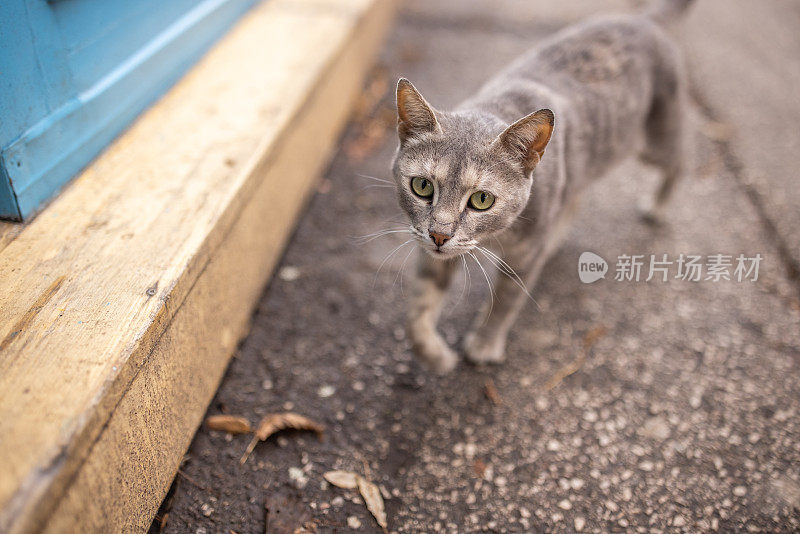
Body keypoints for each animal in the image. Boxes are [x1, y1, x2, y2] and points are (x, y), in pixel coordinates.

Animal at [390, 0, 692, 372]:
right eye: (422, 186)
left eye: (481, 199)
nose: (439, 235)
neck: (496, 237)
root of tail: (645, 18)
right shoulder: (432, 250)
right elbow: (418, 309)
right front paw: (435, 355)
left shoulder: (525, 256)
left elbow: (505, 302)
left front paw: (484, 344)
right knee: (575, 197)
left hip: (657, 142)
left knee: (683, 159)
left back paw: (657, 206)